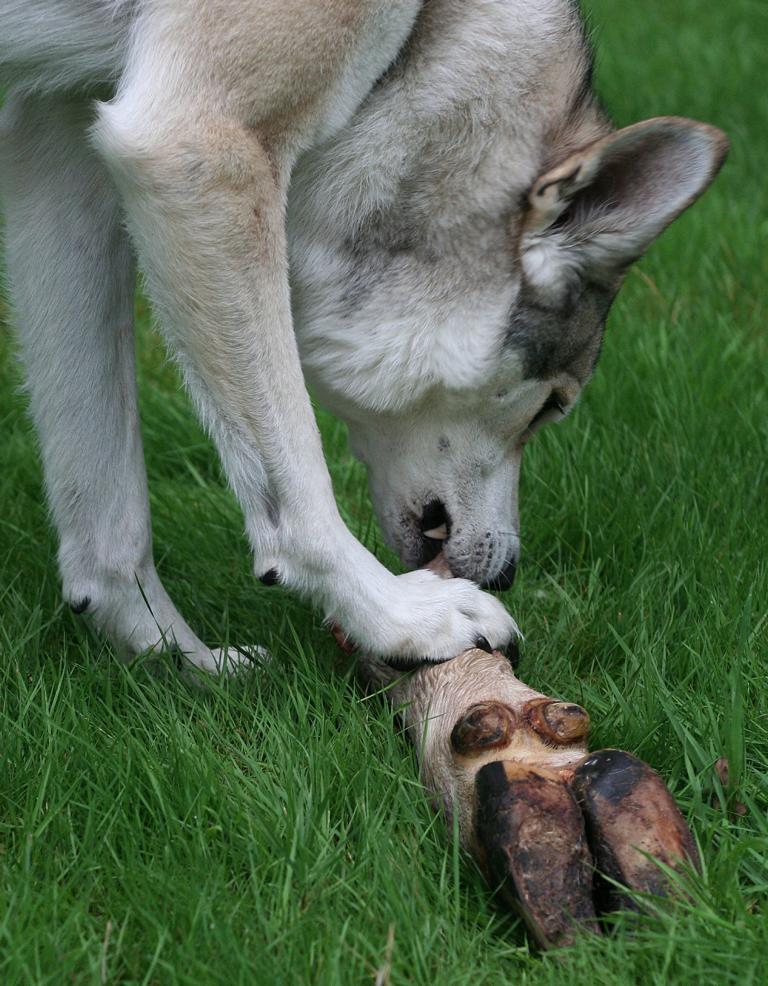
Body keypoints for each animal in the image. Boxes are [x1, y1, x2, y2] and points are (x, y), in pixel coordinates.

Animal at [0, 1, 728, 668]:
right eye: (552, 407)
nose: (506, 574)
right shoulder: (194, 143)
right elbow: (299, 496)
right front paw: (398, 617)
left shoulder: (62, 142)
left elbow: (107, 512)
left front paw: (182, 667)